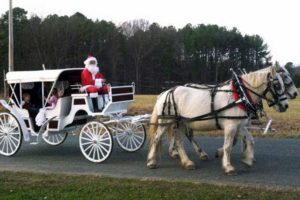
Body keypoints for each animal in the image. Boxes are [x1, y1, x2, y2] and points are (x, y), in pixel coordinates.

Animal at [147, 66, 288, 175]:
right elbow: (228, 146)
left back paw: (187, 162)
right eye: (277, 85)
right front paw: (228, 166)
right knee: (157, 138)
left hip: (180, 122)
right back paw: (152, 161)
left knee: (179, 141)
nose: (285, 105)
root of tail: (165, 93)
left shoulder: (239, 125)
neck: (240, 95)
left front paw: (247, 160)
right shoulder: (231, 126)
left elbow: (250, 140)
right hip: (166, 121)